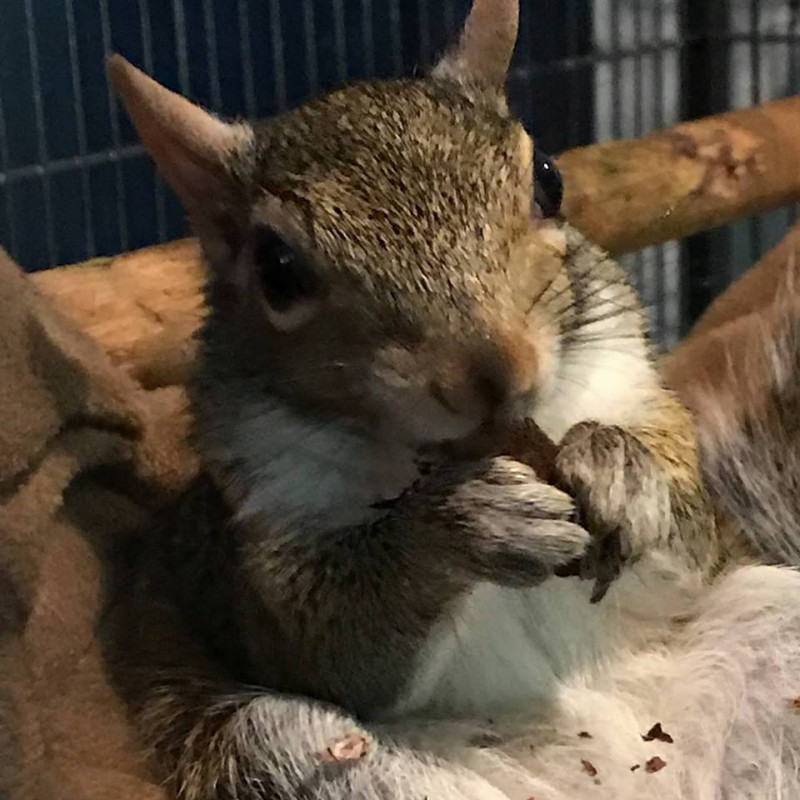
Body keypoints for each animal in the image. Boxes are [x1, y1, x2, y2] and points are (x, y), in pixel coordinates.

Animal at [103, 1, 743, 798]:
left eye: (548, 179)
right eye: (276, 270)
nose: (493, 372)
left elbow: (693, 546)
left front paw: (621, 469)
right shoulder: (263, 540)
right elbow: (334, 645)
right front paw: (463, 523)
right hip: (283, 744)